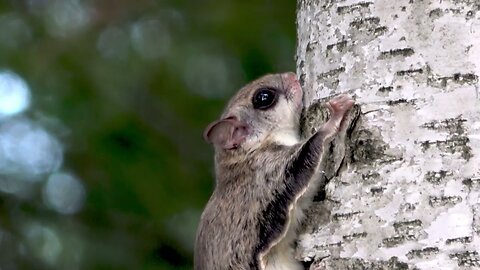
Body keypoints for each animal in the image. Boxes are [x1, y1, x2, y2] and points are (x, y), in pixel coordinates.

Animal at [193, 72, 354, 270]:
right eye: (263, 97)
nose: (291, 75)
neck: (248, 154)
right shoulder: (271, 171)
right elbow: (311, 150)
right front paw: (334, 119)